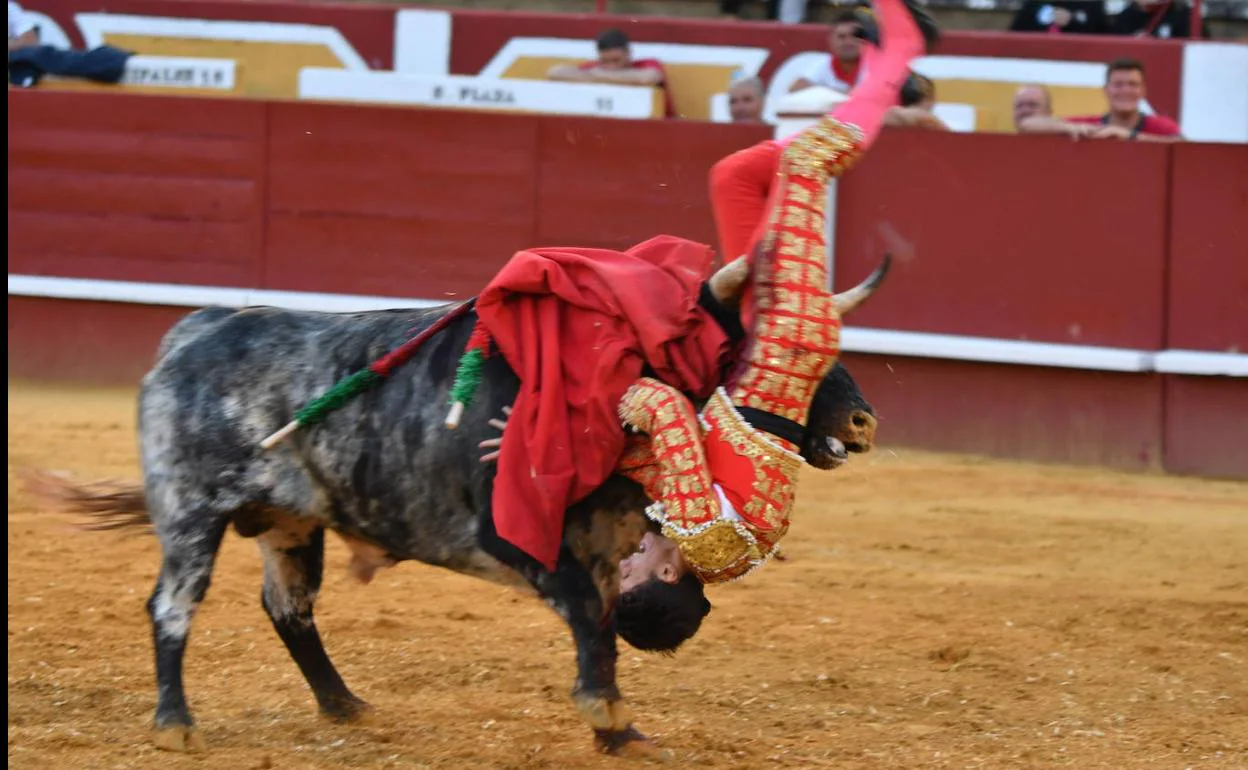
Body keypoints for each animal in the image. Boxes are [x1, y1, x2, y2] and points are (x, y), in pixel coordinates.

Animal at [36, 260, 888, 753]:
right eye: (757, 342)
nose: (860, 422)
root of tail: (196, 328)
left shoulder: (603, 545)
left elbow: (602, 625)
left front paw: (622, 731)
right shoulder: (513, 535)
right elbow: (589, 617)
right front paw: (608, 716)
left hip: (290, 521)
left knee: (289, 608)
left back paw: (345, 706)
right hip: (191, 514)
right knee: (173, 605)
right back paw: (176, 724)